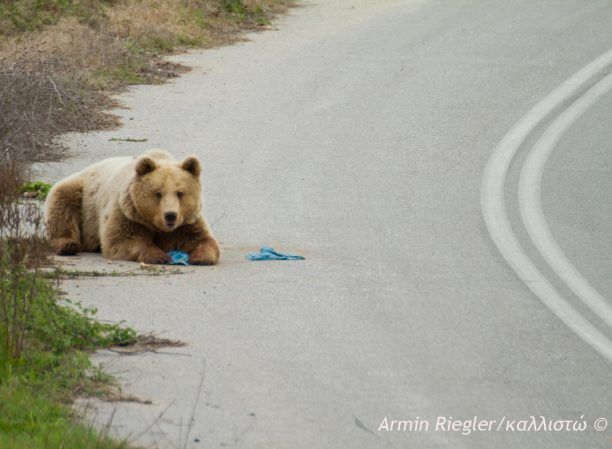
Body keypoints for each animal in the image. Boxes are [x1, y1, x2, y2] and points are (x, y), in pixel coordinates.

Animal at [46, 149, 222, 264]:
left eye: (180, 193)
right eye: (158, 193)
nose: (170, 215)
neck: (155, 224)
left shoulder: (185, 222)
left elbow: (200, 238)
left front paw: (199, 256)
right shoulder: (126, 213)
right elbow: (122, 239)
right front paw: (159, 256)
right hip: (80, 194)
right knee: (62, 204)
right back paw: (68, 245)